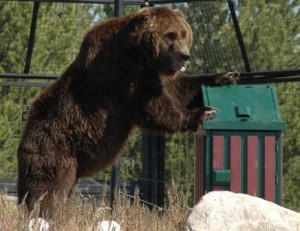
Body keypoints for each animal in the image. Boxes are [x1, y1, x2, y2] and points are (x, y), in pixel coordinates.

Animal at [17, 6, 237, 217]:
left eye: (184, 34)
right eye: (170, 35)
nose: (185, 55)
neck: (139, 52)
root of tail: (25, 133)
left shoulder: (160, 75)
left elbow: (182, 89)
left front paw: (224, 76)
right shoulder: (122, 74)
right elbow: (155, 106)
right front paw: (203, 113)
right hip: (55, 150)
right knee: (48, 189)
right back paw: (42, 213)